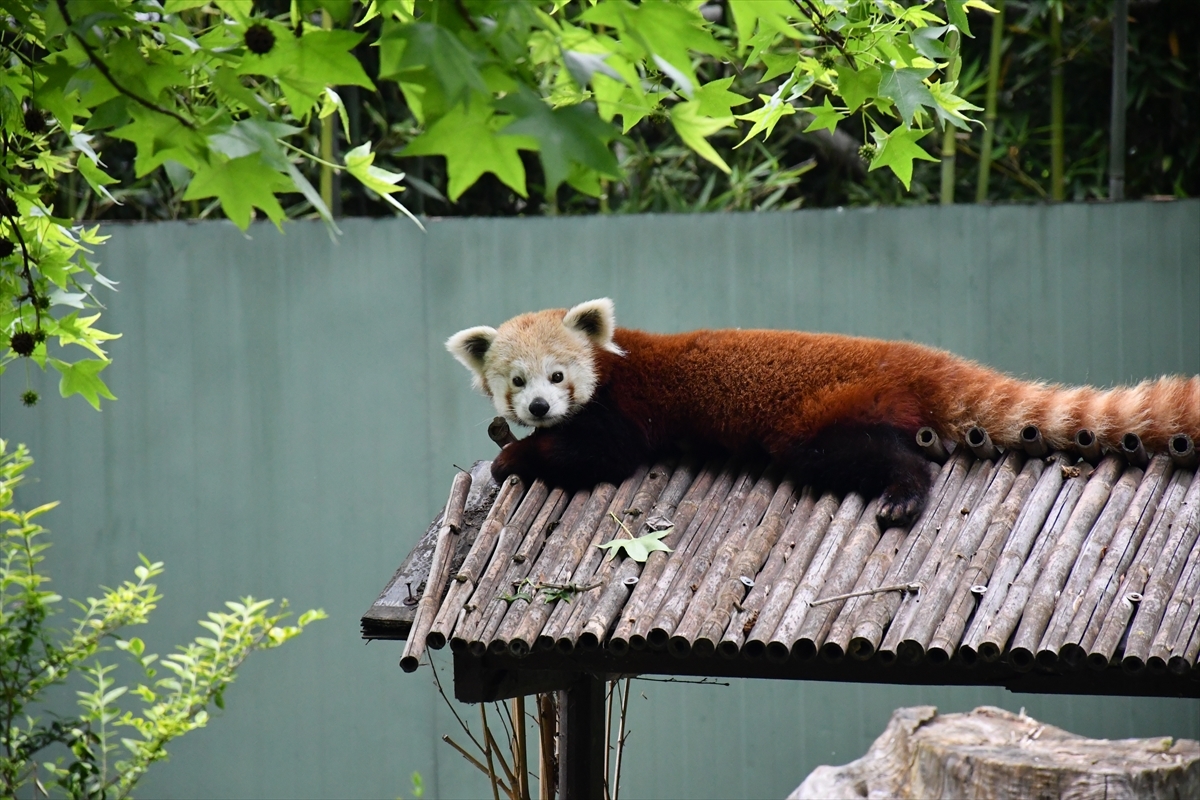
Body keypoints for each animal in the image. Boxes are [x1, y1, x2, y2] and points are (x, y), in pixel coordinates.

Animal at [448, 297, 1200, 522]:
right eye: (516, 381)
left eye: (558, 375)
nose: (539, 405)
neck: (612, 359)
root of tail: (920, 358)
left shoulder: (624, 407)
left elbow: (600, 454)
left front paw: (515, 458)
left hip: (826, 414)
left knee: (858, 454)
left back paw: (902, 495)